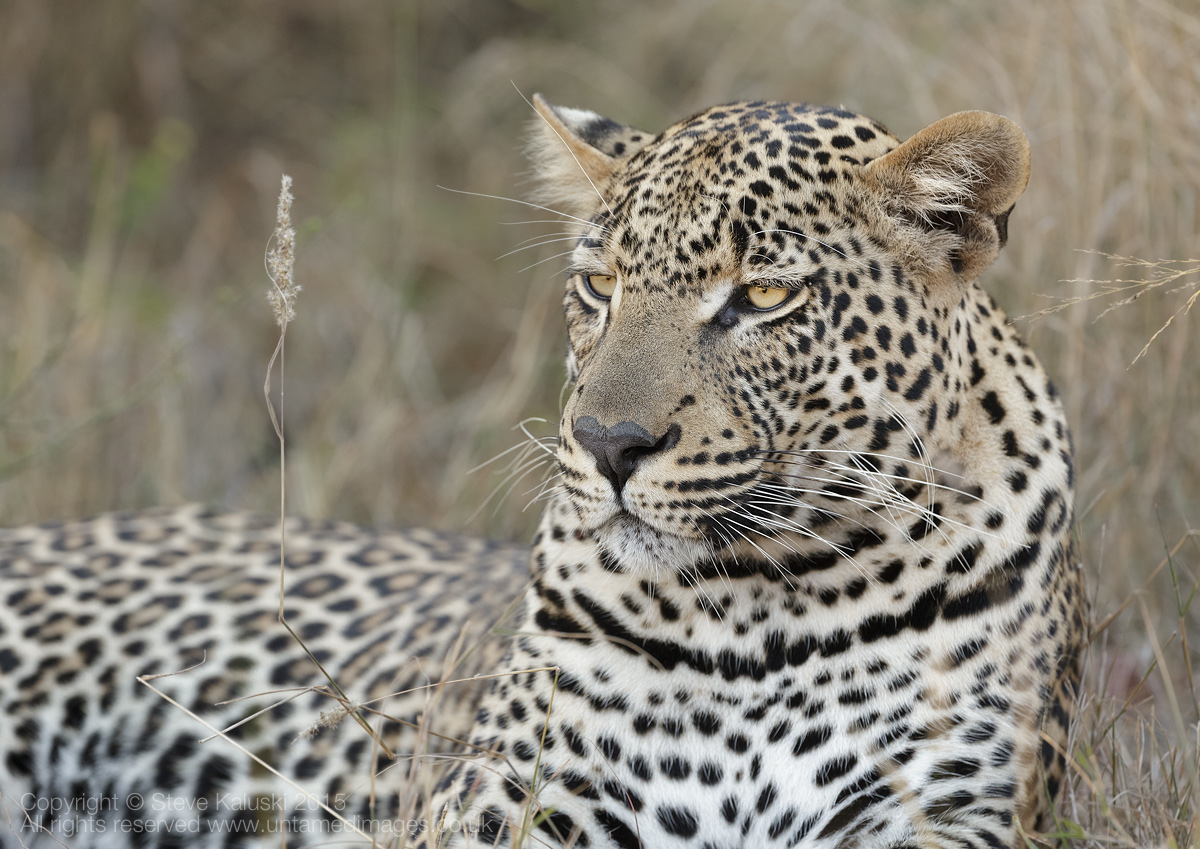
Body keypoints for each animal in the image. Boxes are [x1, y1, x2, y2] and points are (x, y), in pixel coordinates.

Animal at [0, 94, 1085, 849]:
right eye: (599, 285)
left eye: (765, 295)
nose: (608, 441)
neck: (759, 608)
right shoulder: (509, 803)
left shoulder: (944, 810)